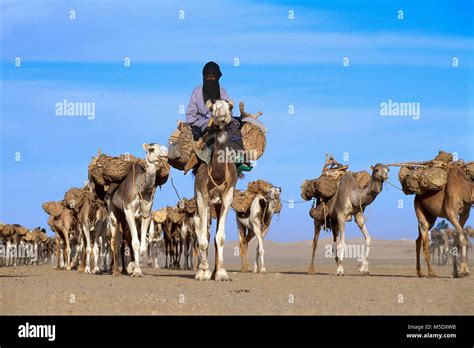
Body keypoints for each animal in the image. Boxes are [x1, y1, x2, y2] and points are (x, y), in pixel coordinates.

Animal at [107, 143, 168, 276]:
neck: (142, 187)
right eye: (151, 149)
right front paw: (136, 271)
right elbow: (135, 243)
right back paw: (115, 271)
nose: (165, 154)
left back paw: (124, 269)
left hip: (124, 218)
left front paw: (136, 267)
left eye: (165, 148)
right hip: (112, 209)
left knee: (125, 239)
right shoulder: (128, 209)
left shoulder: (146, 213)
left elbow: (142, 246)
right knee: (114, 240)